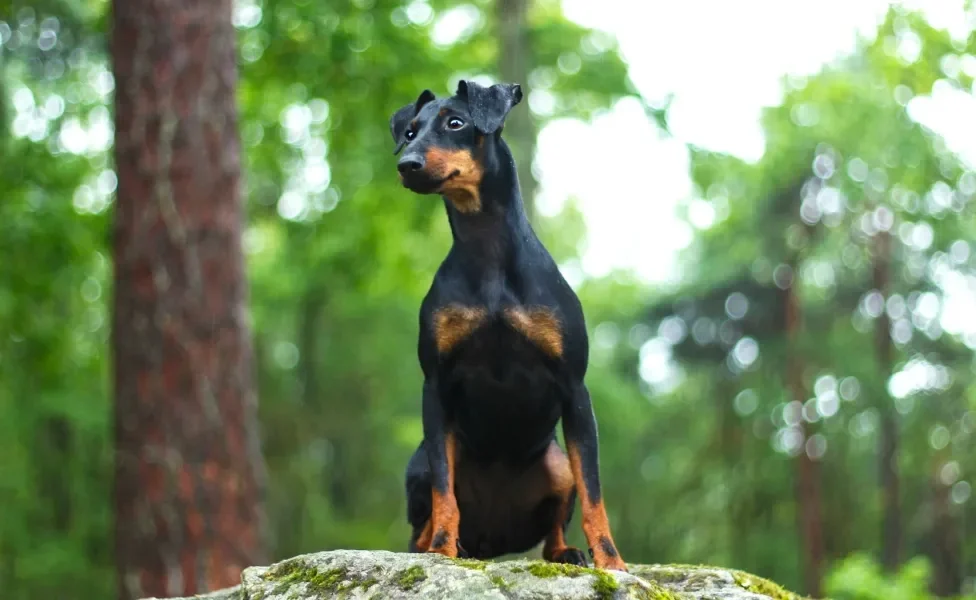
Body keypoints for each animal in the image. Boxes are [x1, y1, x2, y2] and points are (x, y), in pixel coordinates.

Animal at [390, 79, 624, 572]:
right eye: (410, 131)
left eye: (455, 123)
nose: (407, 165)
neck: (488, 251)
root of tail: (492, 541)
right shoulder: (435, 388)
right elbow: (444, 492)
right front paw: (442, 550)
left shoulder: (575, 389)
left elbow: (594, 492)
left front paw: (613, 563)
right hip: (421, 460)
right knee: (424, 518)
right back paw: (442, 546)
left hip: (556, 463)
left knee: (555, 526)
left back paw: (568, 552)